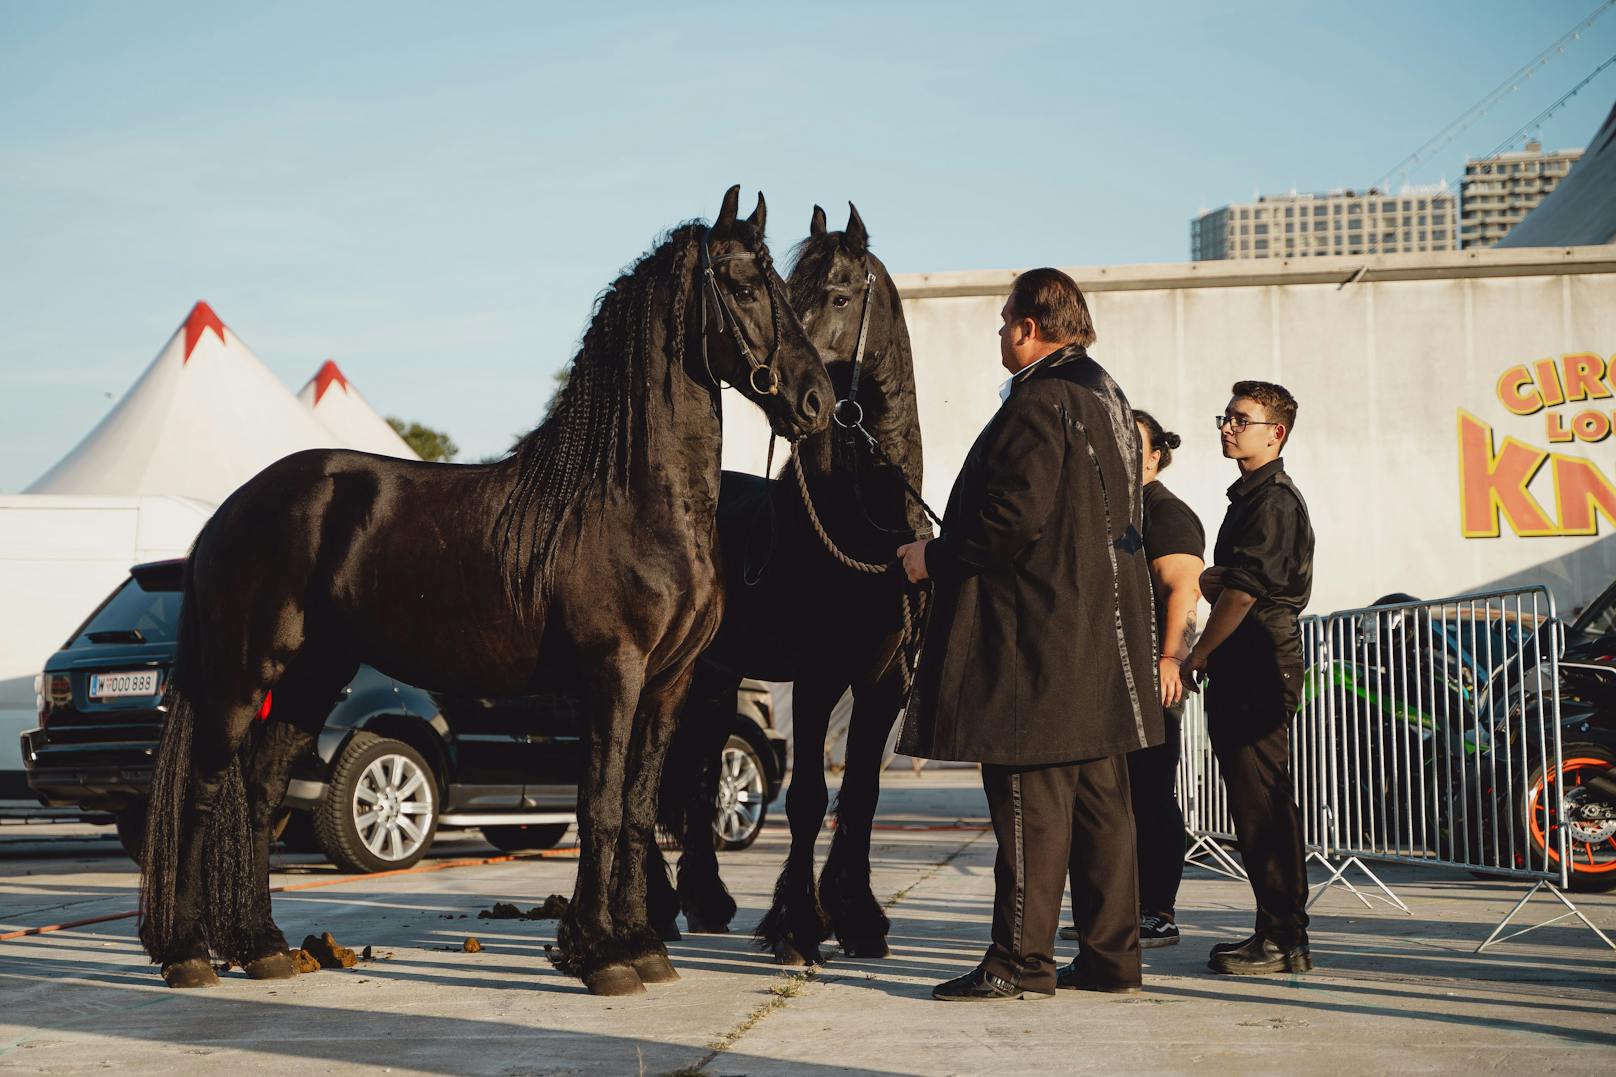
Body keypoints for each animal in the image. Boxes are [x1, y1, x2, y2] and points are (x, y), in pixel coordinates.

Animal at [138, 188, 833, 996]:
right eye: (747, 288)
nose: (817, 402)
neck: (633, 499)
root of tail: (229, 509)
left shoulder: (669, 683)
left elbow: (634, 810)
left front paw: (642, 946)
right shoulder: (613, 674)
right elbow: (599, 806)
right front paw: (601, 956)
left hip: (311, 678)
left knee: (257, 793)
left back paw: (263, 946)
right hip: (242, 675)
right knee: (203, 792)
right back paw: (189, 952)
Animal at [643, 205, 924, 957]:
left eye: (838, 296)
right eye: (782, 294)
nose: (810, 395)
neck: (862, 523)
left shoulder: (884, 682)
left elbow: (861, 796)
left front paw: (858, 917)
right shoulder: (820, 676)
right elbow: (806, 799)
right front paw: (797, 922)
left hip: (713, 678)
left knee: (700, 774)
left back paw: (706, 899)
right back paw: (657, 903)